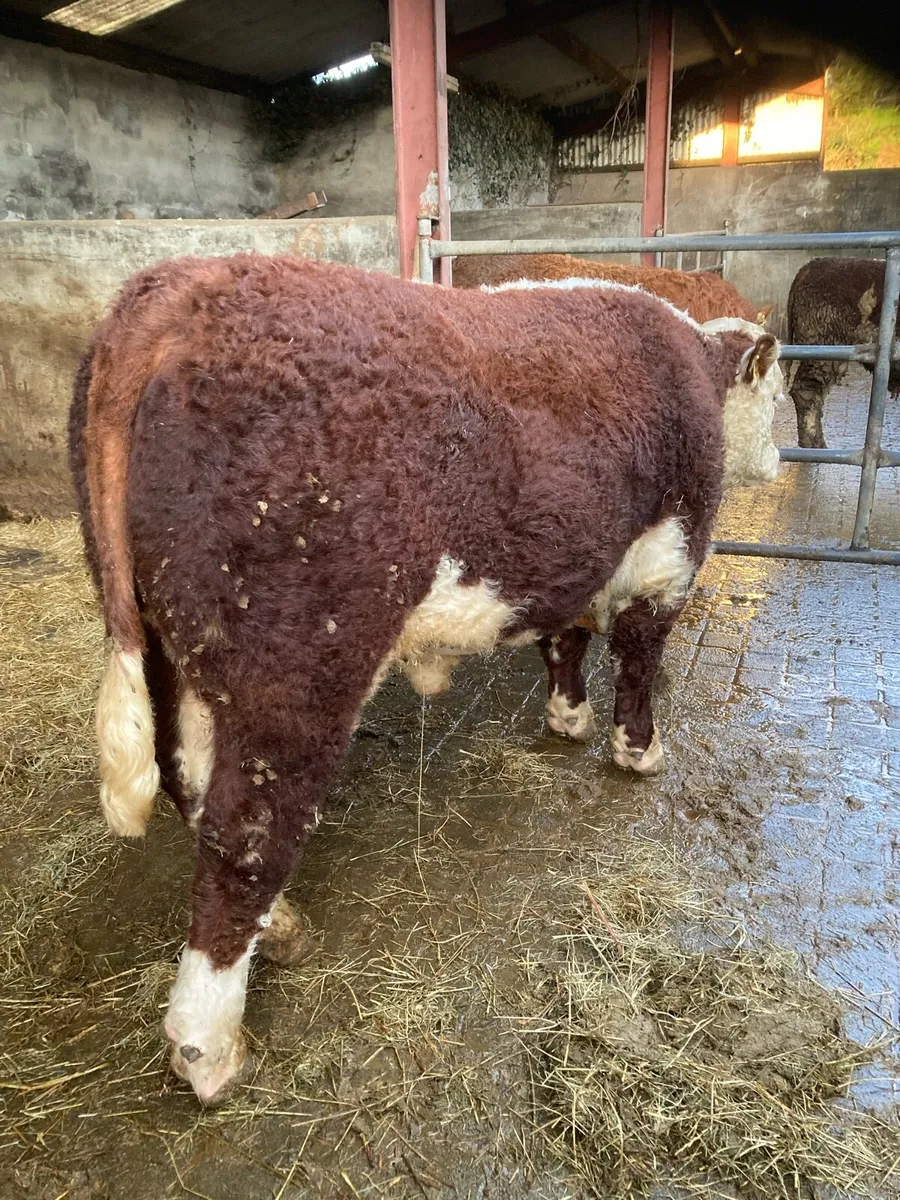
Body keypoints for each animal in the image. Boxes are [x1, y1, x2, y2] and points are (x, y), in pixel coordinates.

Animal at [68, 255, 782, 1105]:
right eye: (778, 396)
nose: (780, 462)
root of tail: (178, 288)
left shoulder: (573, 556)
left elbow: (566, 638)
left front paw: (567, 717)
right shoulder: (666, 558)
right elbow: (640, 656)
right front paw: (636, 749)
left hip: (175, 653)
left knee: (193, 785)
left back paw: (282, 928)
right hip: (293, 679)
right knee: (245, 839)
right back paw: (208, 1047)